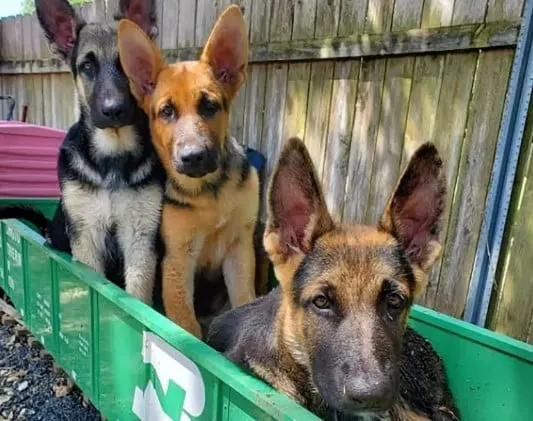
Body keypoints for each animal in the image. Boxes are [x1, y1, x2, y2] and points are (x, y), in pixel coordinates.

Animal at [0, 0, 164, 304]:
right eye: (87, 66)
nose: (114, 111)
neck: (113, 155)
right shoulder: (87, 237)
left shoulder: (140, 236)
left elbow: (138, 295)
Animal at [115, 4, 258, 338]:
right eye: (167, 111)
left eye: (209, 106)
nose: (193, 158)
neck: (209, 192)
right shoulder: (178, 261)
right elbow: (186, 327)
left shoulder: (240, 249)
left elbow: (245, 301)